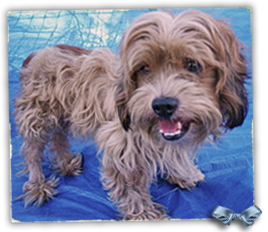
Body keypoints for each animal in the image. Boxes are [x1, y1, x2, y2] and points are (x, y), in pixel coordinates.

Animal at [13, 10, 248, 220]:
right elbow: (131, 186)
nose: (162, 105)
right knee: (32, 150)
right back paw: (37, 184)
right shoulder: (120, 146)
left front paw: (182, 172)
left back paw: (65, 162)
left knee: (59, 137)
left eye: (192, 64)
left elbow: (172, 152)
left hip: (63, 112)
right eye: (144, 68)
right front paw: (144, 214)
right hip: (39, 115)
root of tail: (36, 54)